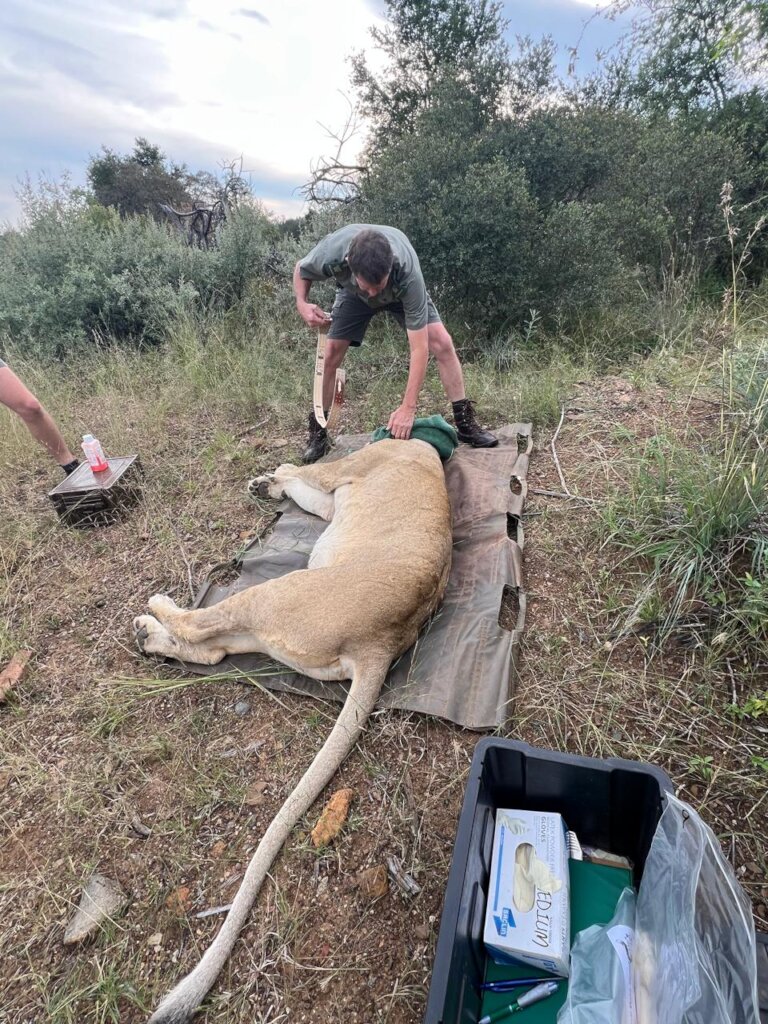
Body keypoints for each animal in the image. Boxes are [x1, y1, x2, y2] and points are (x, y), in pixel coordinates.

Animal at [133, 438, 453, 1024]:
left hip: (276, 594)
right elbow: (303, 489)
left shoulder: (346, 469)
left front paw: (273, 477)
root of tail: (382, 642)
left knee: (200, 625)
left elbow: (306, 469)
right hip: (268, 626)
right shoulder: (331, 501)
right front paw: (268, 486)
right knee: (211, 651)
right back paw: (151, 636)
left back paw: (156, 611)